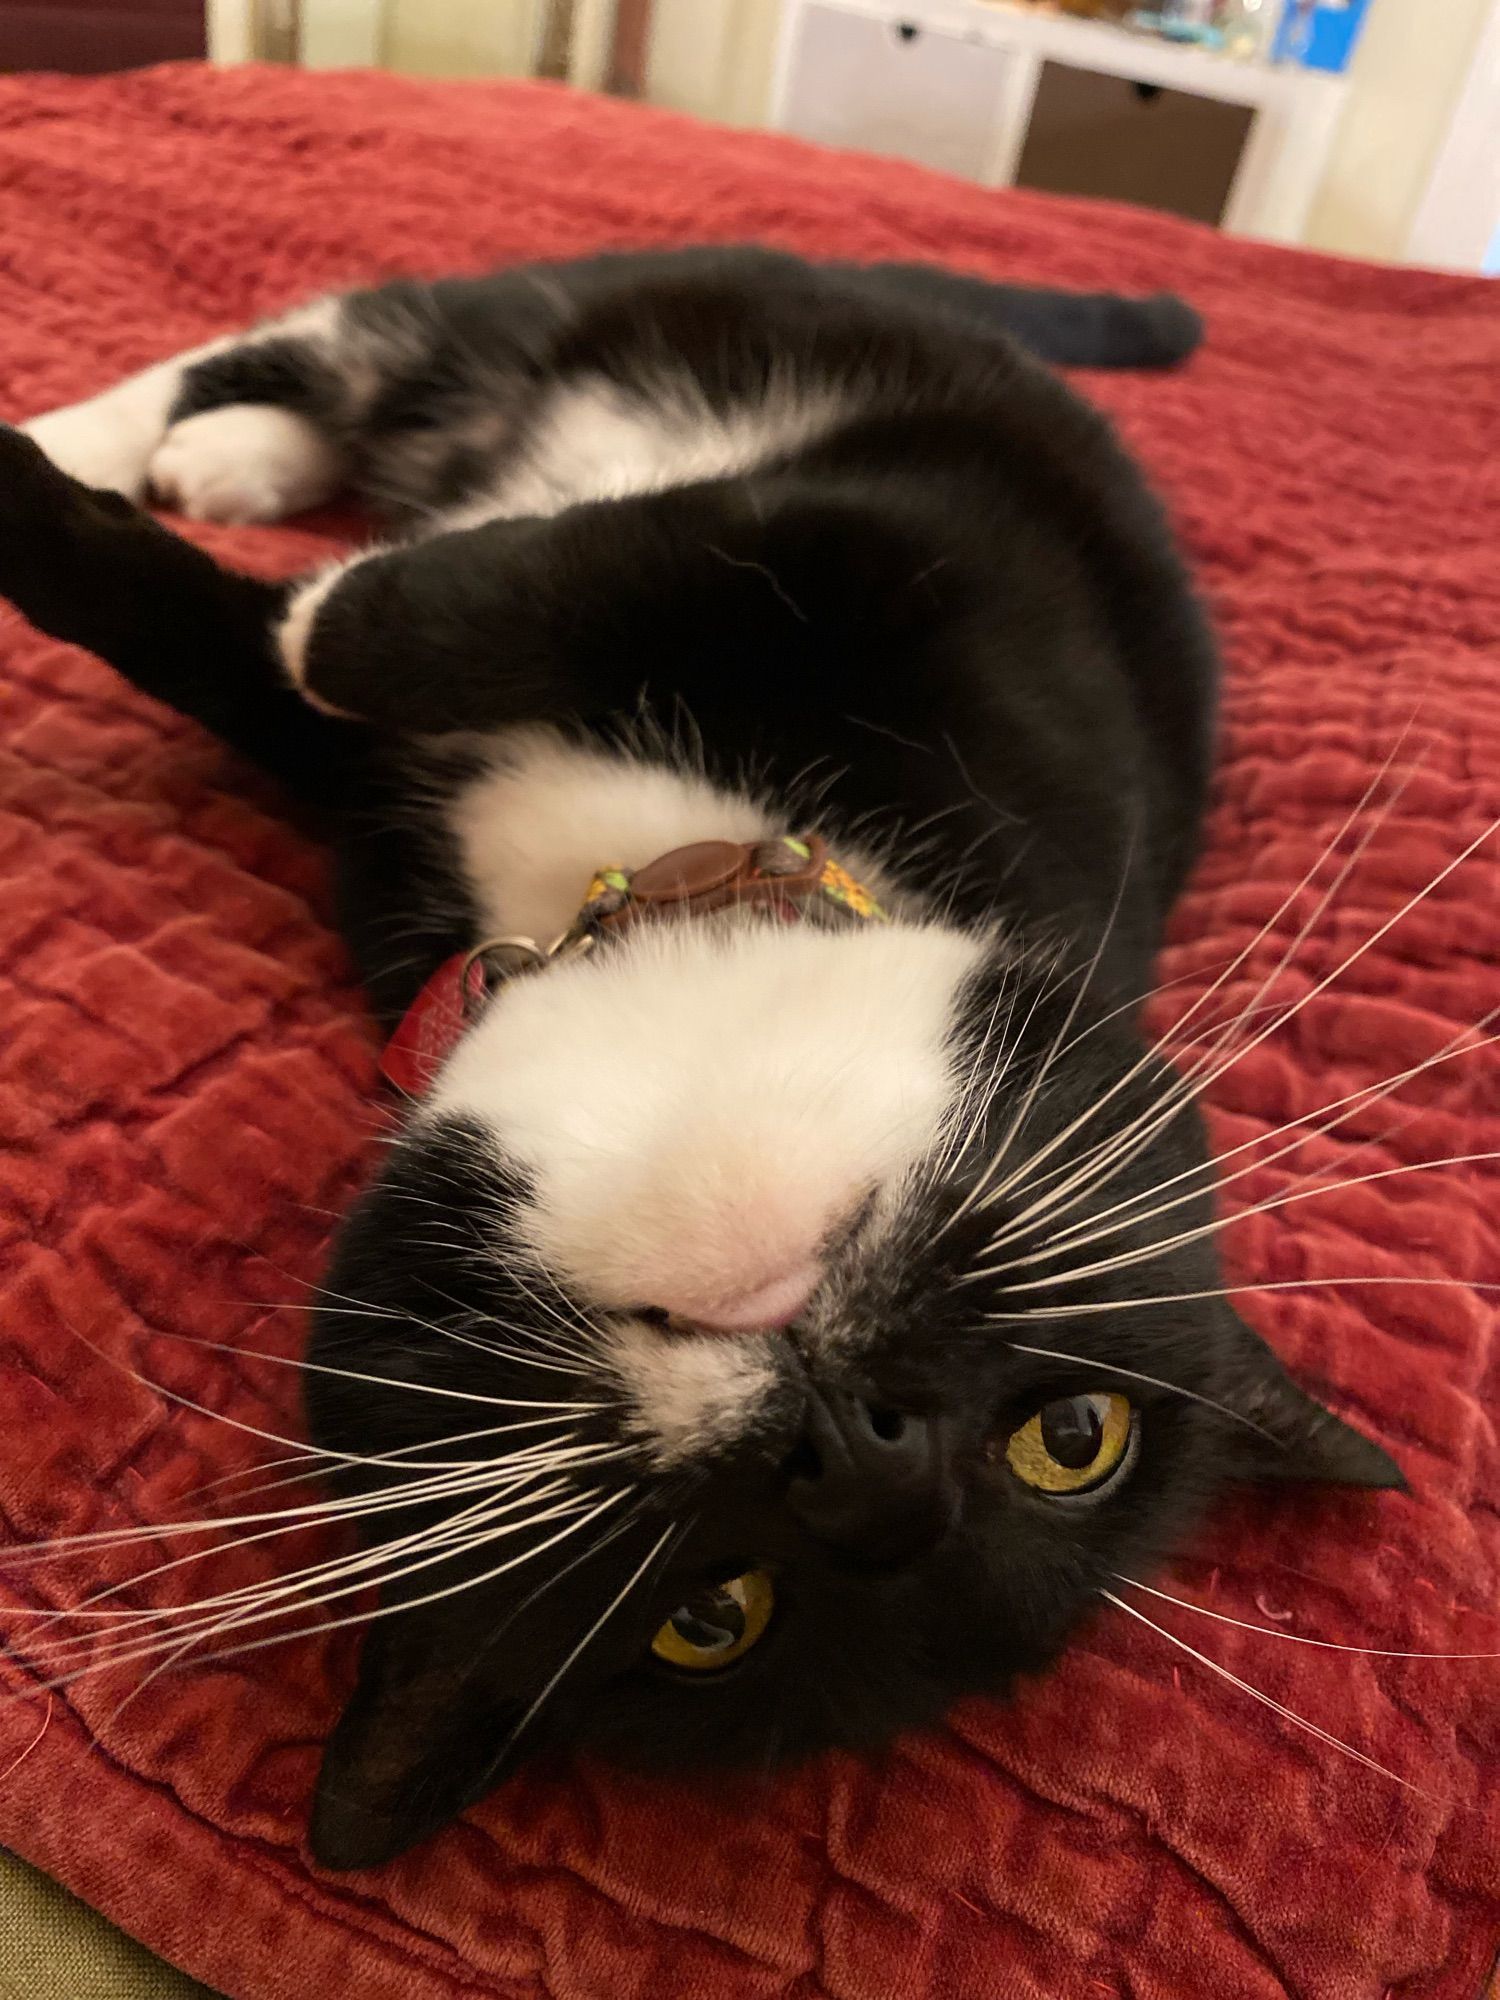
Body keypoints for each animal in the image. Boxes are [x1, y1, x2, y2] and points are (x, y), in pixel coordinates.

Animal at [5, 250, 1408, 1872]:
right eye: (1080, 1434)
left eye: (711, 1618)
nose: (867, 1460)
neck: (654, 896)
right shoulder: (939, 568)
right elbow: (553, 582)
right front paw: (273, 577)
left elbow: (259, 641)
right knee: (348, 341)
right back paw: (179, 443)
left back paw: (239, 462)